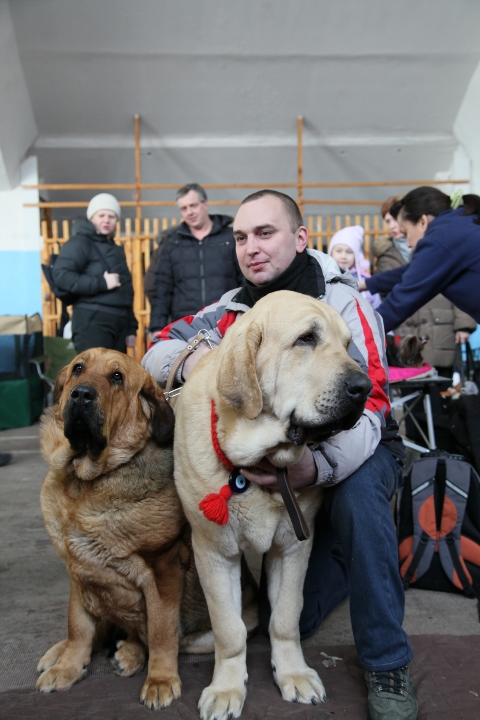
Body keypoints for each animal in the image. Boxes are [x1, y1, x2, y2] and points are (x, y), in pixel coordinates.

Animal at [36, 348, 217, 708]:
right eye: (78, 369)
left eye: (117, 378)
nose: (81, 394)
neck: (85, 479)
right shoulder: (79, 571)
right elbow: (78, 626)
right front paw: (68, 667)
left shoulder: (163, 570)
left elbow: (161, 631)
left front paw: (160, 680)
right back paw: (59, 653)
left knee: (148, 634)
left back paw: (131, 655)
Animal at [174, 290, 374, 716]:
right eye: (306, 339)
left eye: (348, 344)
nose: (364, 387)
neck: (260, 463)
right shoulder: (215, 552)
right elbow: (229, 630)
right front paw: (227, 688)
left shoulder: (292, 548)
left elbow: (285, 617)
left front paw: (293, 674)